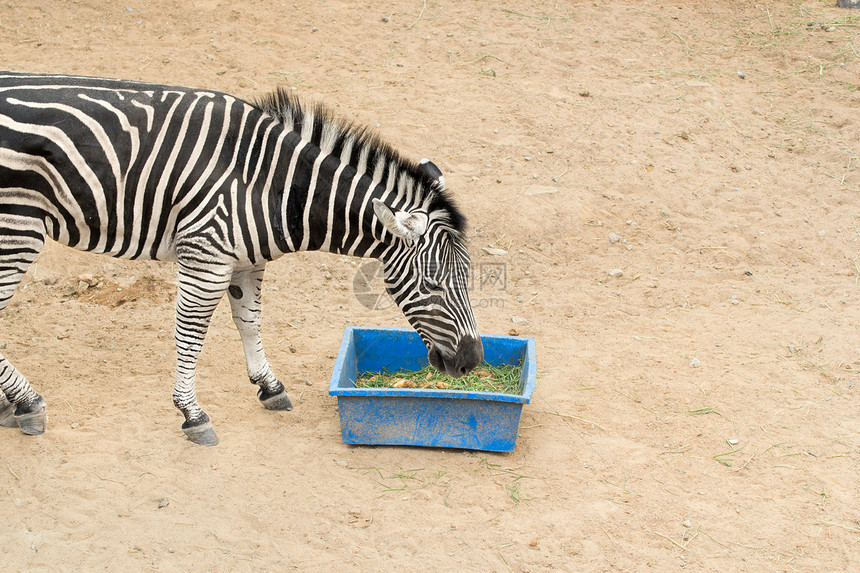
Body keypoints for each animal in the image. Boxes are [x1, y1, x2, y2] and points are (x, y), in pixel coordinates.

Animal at [0, 71, 484, 444]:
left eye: (467, 277)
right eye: (434, 284)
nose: (473, 361)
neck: (269, 185)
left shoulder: (246, 260)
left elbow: (249, 321)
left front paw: (269, 387)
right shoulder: (206, 255)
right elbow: (191, 336)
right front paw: (192, 413)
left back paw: (11, 405)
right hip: (18, 227)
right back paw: (28, 402)